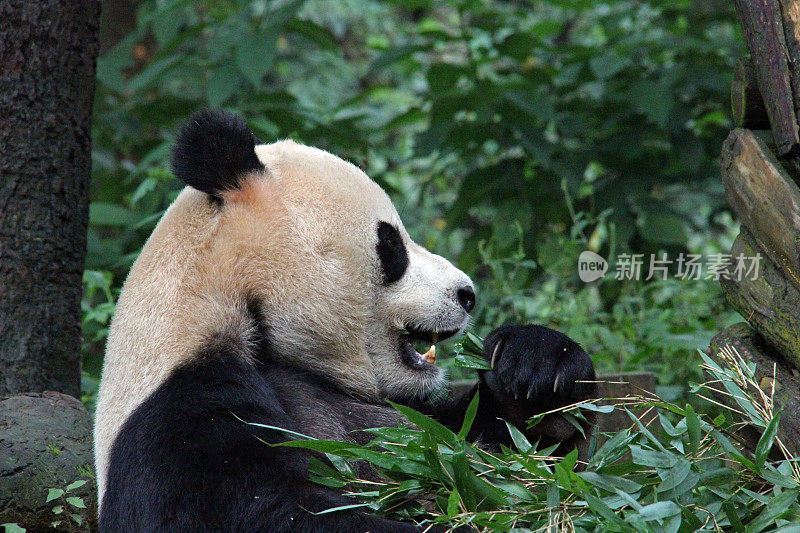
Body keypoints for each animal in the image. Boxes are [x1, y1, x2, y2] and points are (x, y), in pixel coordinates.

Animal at [95, 109, 592, 532]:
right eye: (391, 245)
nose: (467, 295)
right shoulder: (178, 417)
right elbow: (261, 508)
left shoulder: (419, 415)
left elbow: (518, 446)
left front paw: (534, 366)